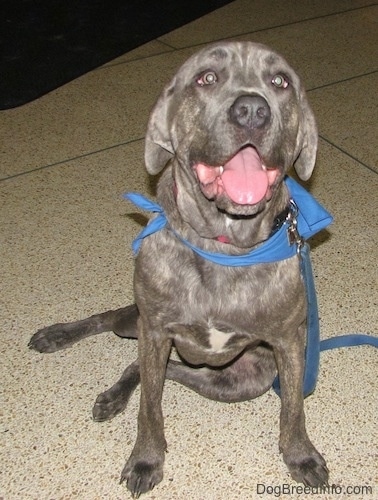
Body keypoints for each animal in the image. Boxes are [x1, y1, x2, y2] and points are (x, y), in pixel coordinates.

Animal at [29, 42, 330, 496]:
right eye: (206, 78)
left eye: (280, 81)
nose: (252, 111)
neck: (225, 248)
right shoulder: (155, 330)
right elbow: (150, 409)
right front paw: (146, 458)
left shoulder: (288, 342)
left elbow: (293, 407)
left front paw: (300, 454)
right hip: (136, 324)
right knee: (113, 326)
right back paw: (58, 337)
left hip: (240, 379)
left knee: (155, 370)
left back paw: (115, 393)